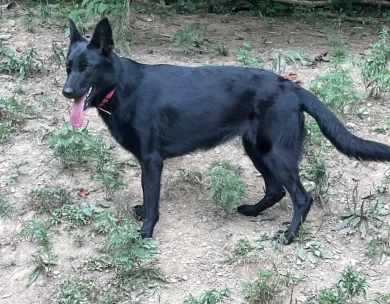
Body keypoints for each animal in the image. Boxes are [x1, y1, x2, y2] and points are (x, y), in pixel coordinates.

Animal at [62, 17, 390, 243]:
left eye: (87, 67)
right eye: (68, 67)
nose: (65, 92)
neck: (120, 86)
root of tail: (293, 88)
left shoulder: (152, 160)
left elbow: (153, 198)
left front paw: (146, 231)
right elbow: (148, 196)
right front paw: (143, 214)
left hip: (276, 154)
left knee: (301, 197)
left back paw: (288, 235)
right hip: (257, 149)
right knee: (275, 191)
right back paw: (253, 212)